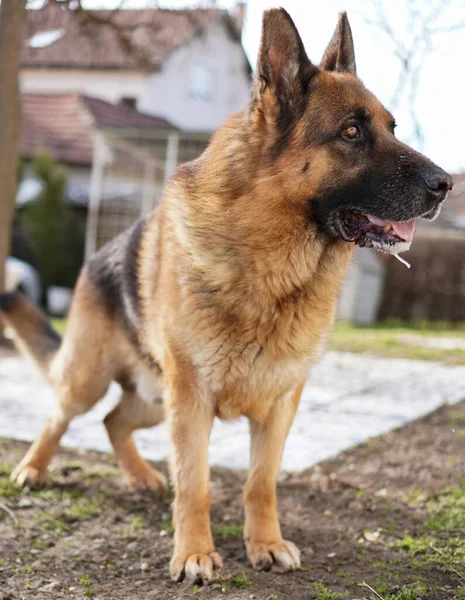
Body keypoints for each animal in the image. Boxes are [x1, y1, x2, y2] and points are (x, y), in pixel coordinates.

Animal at [0, 8, 450, 580]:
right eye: (352, 132)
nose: (445, 185)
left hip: (155, 398)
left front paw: (266, 543)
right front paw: (193, 552)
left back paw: (140, 475)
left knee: (113, 420)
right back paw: (32, 468)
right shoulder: (192, 402)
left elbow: (261, 483)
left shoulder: (279, 405)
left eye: (392, 128)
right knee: (61, 416)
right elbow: (196, 484)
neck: (272, 269)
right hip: (97, 380)